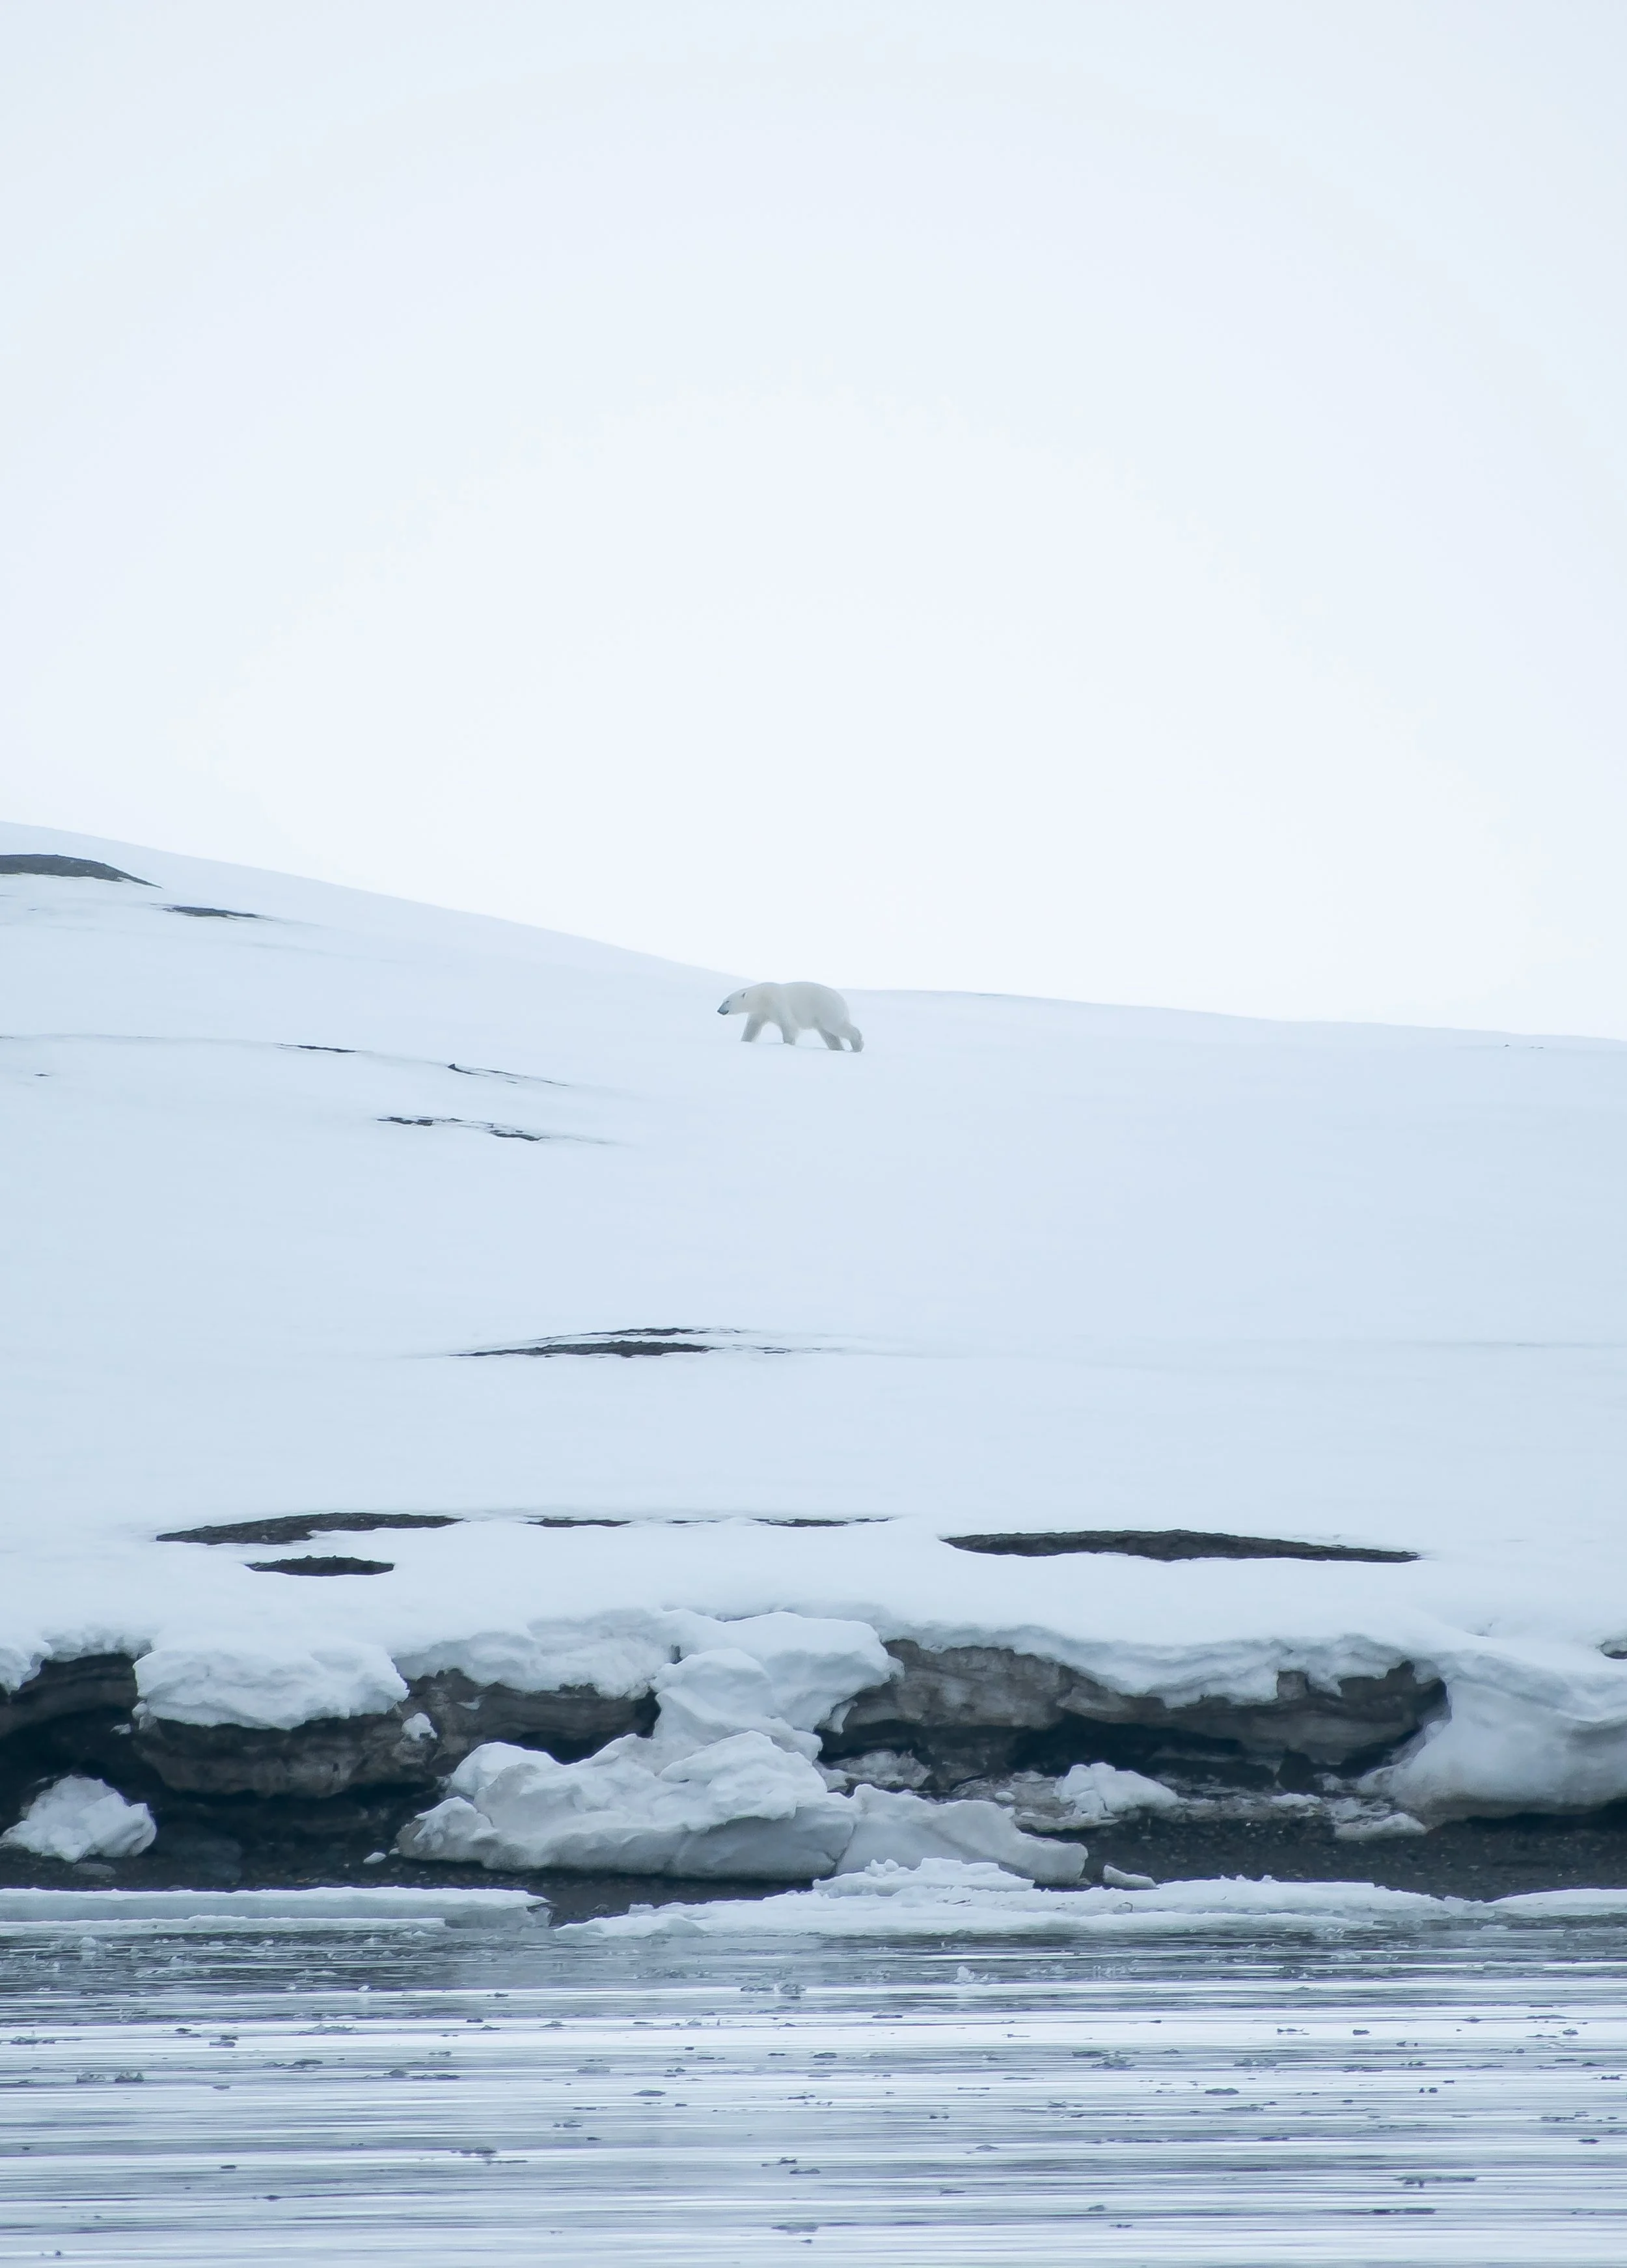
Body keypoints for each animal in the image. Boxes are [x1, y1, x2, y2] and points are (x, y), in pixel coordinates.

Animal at [717, 981, 863, 1052]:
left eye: (727, 1001)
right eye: (723, 1000)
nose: (719, 1010)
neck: (761, 997)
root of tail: (842, 1001)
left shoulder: (776, 1002)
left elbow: (788, 1024)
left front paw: (787, 1044)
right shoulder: (760, 1011)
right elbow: (753, 1027)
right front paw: (745, 1041)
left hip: (827, 1009)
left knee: (835, 1026)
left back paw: (857, 1046)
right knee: (829, 1035)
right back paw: (837, 1048)